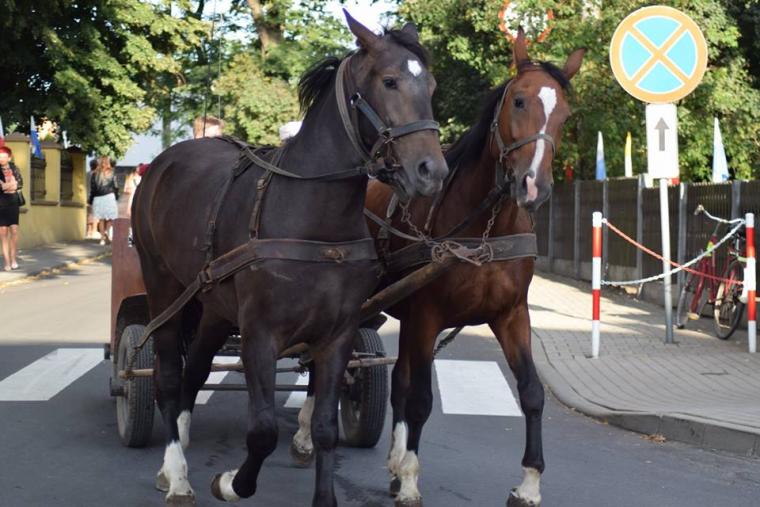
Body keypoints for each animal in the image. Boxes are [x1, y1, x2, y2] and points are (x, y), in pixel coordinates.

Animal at [131, 12, 448, 507]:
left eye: (430, 85)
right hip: (163, 288)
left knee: (195, 369)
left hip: (215, 306)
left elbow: (325, 427)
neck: (315, 219)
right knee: (167, 376)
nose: (432, 172)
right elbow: (261, 431)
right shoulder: (261, 335)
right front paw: (230, 482)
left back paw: (176, 450)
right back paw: (177, 473)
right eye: (389, 81)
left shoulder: (337, 335)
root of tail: (164, 163)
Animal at [292, 29, 585, 507]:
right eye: (519, 101)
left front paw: (528, 483)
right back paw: (305, 436)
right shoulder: (429, 316)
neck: (484, 227)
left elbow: (530, 392)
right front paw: (411, 478)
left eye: (564, 112)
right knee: (329, 368)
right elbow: (422, 400)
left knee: (396, 379)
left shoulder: (511, 315)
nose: (534, 186)